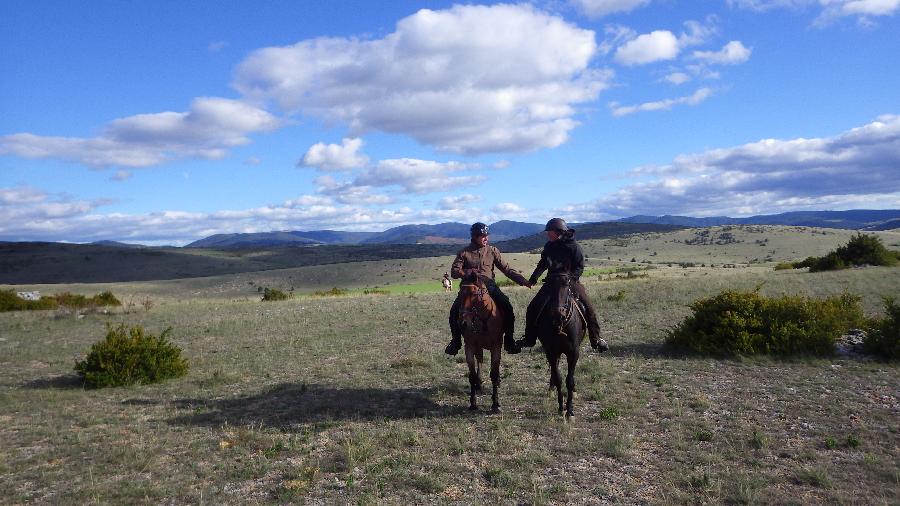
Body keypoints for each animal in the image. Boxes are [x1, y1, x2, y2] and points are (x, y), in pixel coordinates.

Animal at [458, 272, 506, 412]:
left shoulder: (496, 346)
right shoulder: (469, 346)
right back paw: (478, 384)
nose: (463, 323)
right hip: (478, 347)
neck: (483, 320)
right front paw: (473, 403)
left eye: (474, 293)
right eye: (459, 293)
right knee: (479, 360)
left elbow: (494, 374)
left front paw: (495, 403)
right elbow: (472, 375)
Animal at [532, 274, 588, 418]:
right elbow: (558, 378)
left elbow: (570, 380)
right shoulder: (551, 352)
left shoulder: (573, 353)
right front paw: (561, 408)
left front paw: (570, 410)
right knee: (554, 370)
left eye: (567, 286)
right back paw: (550, 389)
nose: (558, 314)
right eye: (549, 286)